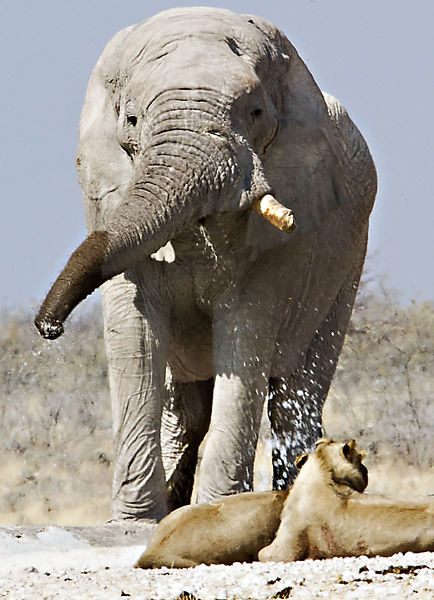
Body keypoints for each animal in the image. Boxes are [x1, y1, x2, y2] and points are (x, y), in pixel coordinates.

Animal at [34, 7, 376, 524]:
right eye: (131, 119)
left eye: (256, 114)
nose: (47, 327)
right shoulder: (105, 192)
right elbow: (134, 332)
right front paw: (134, 522)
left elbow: (246, 334)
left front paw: (222, 509)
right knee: (187, 407)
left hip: (347, 268)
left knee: (293, 394)